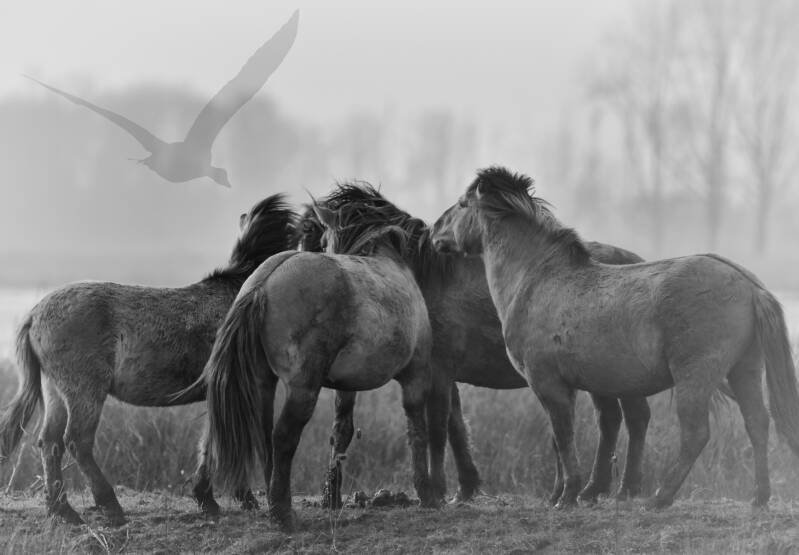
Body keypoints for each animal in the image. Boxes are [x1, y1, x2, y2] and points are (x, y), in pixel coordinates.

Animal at [0, 194, 297, 525]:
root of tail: (35, 314)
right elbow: (232, 441)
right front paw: (234, 498)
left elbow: (211, 443)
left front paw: (210, 498)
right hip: (84, 392)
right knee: (77, 441)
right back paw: (109, 505)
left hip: (55, 392)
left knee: (50, 443)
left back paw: (62, 510)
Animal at [184, 197, 444, 530]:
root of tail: (262, 285)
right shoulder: (416, 374)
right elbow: (417, 430)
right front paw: (427, 493)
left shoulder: (346, 385)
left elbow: (341, 432)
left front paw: (332, 497)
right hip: (303, 388)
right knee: (282, 436)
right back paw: (282, 513)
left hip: (261, 383)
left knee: (256, 434)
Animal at [296, 183, 651, 507]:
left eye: (320, 242)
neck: (422, 277)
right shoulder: (445, 375)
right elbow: (455, 426)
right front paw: (464, 488)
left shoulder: (437, 371)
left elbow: (437, 428)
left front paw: (437, 491)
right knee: (618, 419)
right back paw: (599, 489)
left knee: (624, 420)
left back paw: (611, 489)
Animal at [430, 166, 799, 509]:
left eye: (462, 204)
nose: (435, 231)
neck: (535, 279)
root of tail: (750, 286)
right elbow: (565, 437)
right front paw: (570, 493)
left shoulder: (548, 384)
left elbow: (563, 437)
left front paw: (568, 495)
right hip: (744, 371)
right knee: (757, 423)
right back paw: (759, 497)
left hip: (695, 376)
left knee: (696, 434)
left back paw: (660, 498)